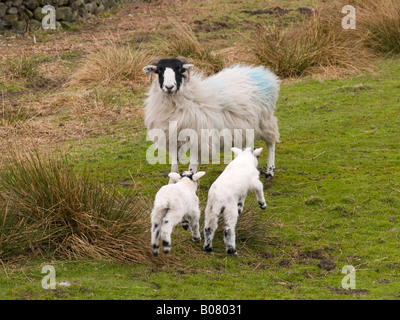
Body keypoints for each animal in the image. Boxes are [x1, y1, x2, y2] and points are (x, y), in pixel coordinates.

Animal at [142, 57, 280, 181]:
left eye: (180, 69)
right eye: (159, 70)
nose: (169, 87)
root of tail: (262, 72)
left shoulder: (198, 140)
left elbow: (191, 168)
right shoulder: (173, 140)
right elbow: (174, 168)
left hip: (264, 120)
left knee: (271, 142)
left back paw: (270, 172)